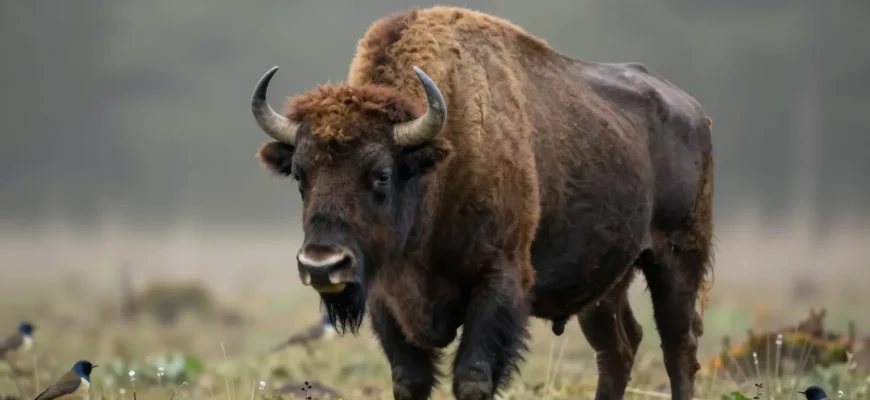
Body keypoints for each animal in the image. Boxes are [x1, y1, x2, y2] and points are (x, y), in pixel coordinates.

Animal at [249, 6, 714, 400]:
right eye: (300, 175)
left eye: (381, 173)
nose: (321, 265)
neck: (438, 164)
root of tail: (693, 110)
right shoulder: (387, 297)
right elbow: (410, 379)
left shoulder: (499, 280)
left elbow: (472, 377)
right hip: (607, 282)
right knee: (618, 347)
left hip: (677, 258)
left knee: (679, 345)